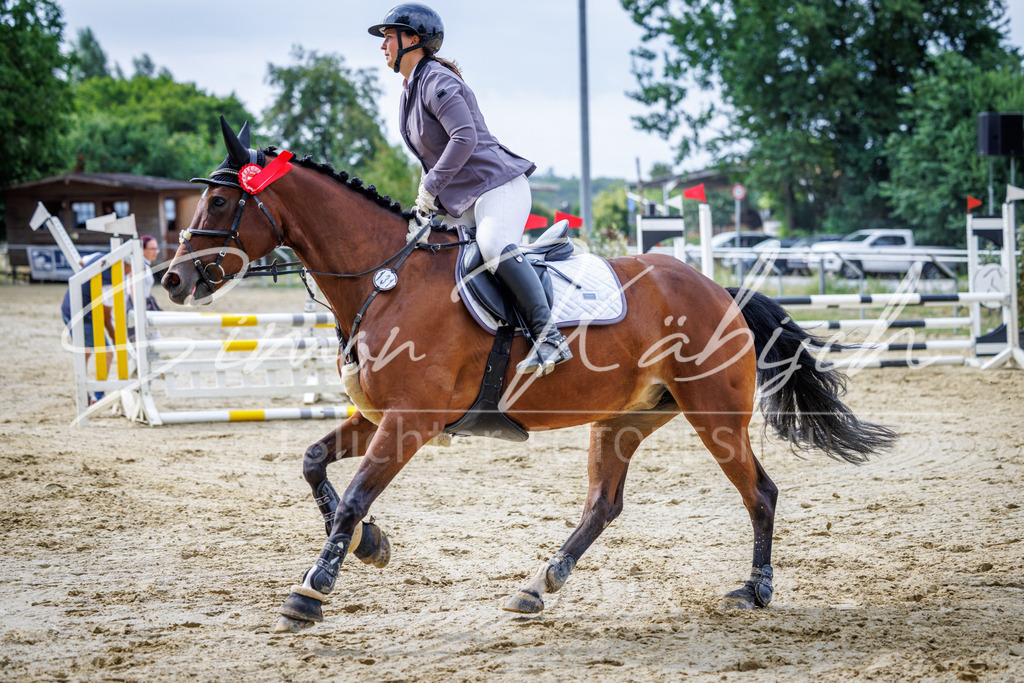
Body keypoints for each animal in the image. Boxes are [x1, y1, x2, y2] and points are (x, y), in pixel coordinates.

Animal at [163, 118, 897, 633]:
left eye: (222, 203)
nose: (172, 280)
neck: (385, 277)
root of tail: (720, 290)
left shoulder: (410, 422)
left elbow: (353, 496)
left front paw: (311, 590)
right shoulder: (379, 417)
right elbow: (316, 464)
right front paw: (371, 546)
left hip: (713, 413)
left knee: (760, 491)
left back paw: (756, 588)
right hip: (626, 418)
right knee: (603, 504)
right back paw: (539, 585)